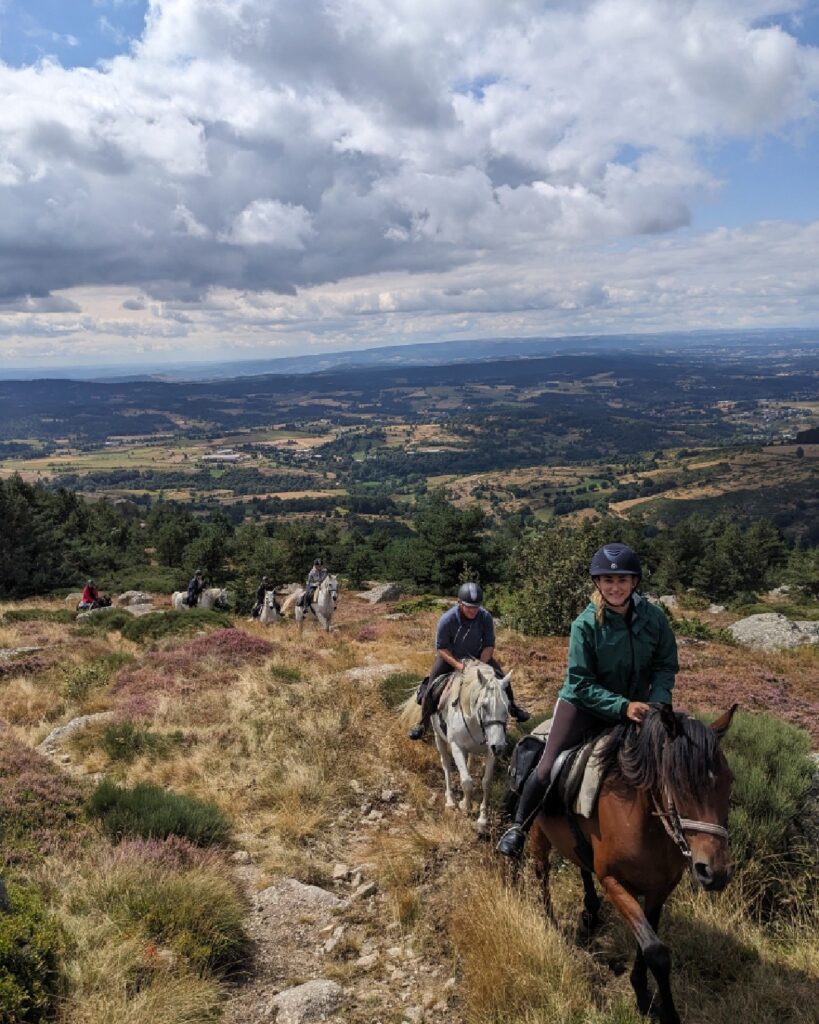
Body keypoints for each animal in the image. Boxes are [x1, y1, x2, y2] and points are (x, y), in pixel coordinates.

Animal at [528, 704, 737, 1024]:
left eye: (729, 780)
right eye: (679, 783)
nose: (715, 872)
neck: (641, 821)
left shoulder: (659, 889)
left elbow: (646, 944)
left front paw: (641, 992)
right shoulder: (614, 883)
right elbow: (656, 952)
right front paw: (665, 1011)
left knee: (582, 866)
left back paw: (590, 912)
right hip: (539, 834)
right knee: (542, 872)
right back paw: (552, 922)